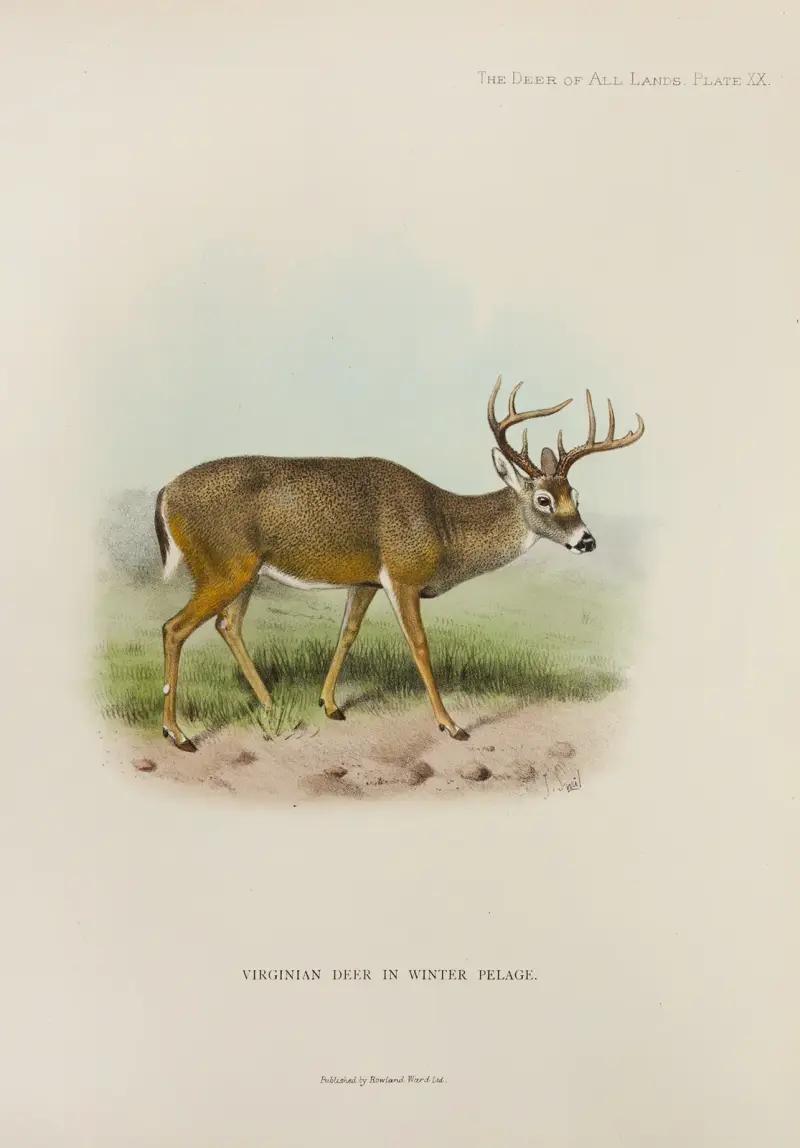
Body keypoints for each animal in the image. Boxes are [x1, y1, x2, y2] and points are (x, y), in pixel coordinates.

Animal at [154, 376, 644, 751]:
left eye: (574, 495)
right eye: (544, 499)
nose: (587, 540)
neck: (443, 526)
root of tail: (164, 494)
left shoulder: (367, 581)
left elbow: (347, 634)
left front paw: (330, 705)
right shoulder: (404, 576)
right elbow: (420, 645)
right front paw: (451, 724)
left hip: (245, 571)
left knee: (227, 624)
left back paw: (270, 702)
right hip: (224, 566)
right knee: (174, 628)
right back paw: (178, 734)